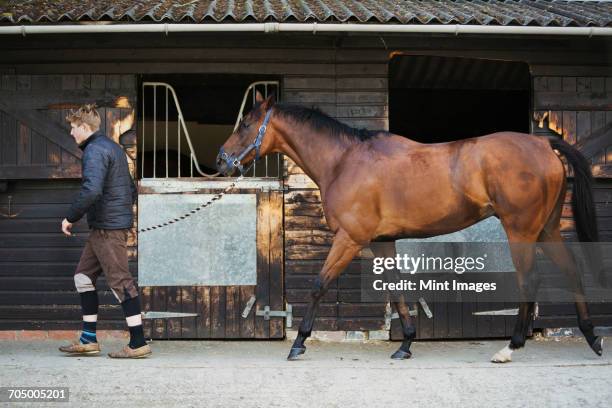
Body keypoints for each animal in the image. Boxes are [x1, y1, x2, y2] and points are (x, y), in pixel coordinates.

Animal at [215, 91, 604, 362]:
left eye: (246, 124)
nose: (221, 160)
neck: (344, 161)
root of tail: (542, 142)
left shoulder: (350, 239)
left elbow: (318, 286)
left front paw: (298, 343)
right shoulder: (383, 241)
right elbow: (395, 287)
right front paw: (405, 343)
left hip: (521, 231)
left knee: (531, 280)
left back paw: (511, 347)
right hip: (546, 230)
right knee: (571, 270)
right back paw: (592, 338)